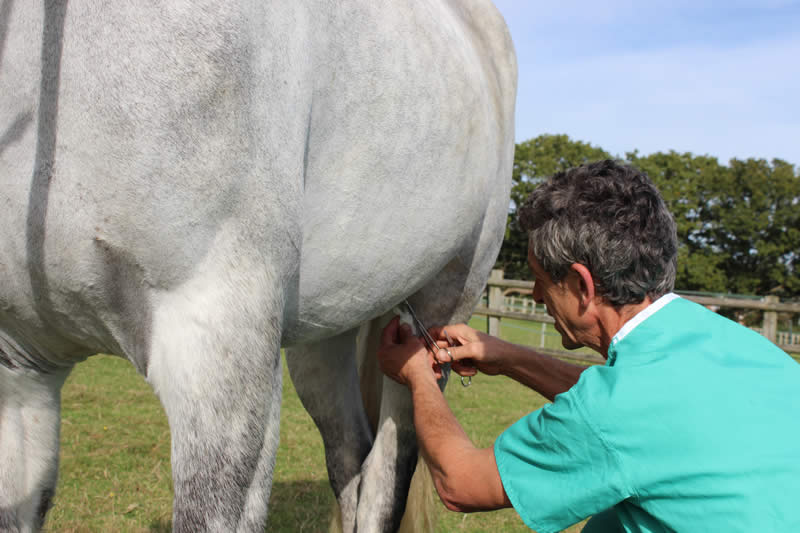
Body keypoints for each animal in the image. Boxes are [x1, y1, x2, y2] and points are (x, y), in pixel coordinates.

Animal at [0, 1, 516, 531]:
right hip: (325, 337)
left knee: (385, 476)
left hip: (438, 318)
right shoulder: (19, 371)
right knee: (350, 456)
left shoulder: (219, 353)